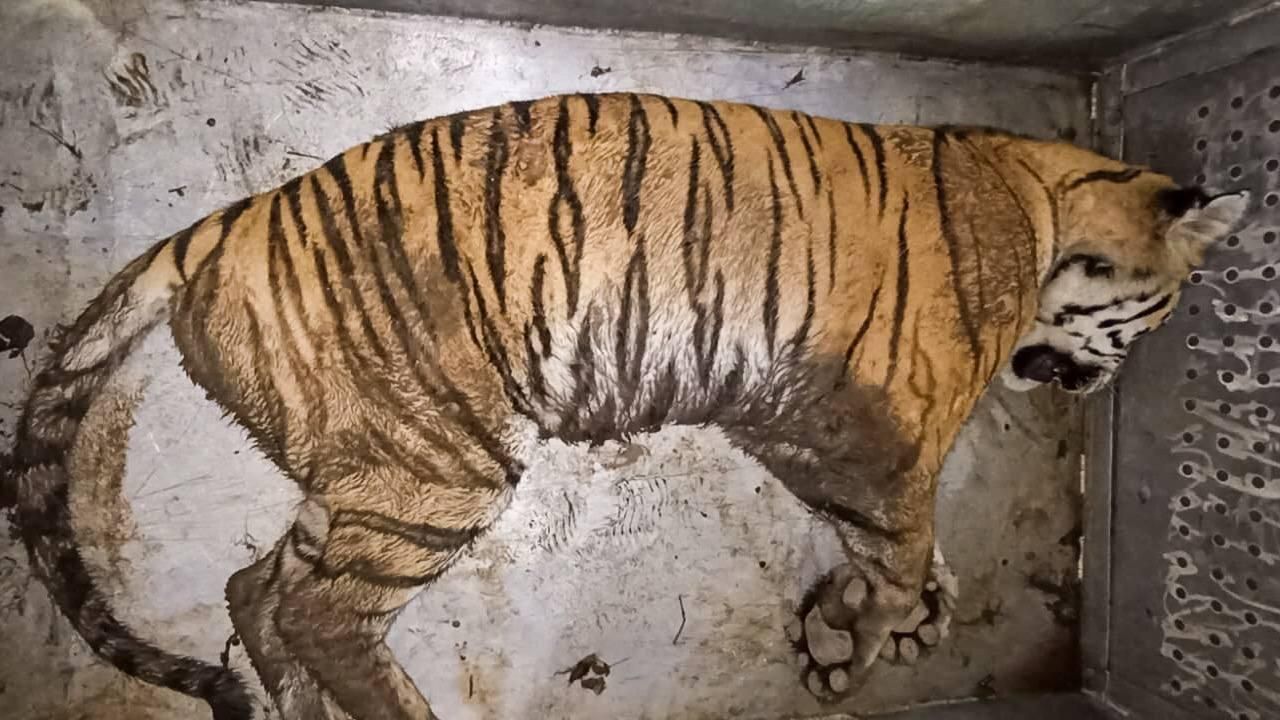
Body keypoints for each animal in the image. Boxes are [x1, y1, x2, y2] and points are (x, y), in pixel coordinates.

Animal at [4, 92, 1247, 720]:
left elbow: (886, 549)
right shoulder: (876, 425)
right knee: (317, 612)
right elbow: (896, 544)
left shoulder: (799, 421)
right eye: (1162, 310)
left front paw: (878, 620)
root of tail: (215, 224)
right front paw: (858, 644)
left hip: (364, 467)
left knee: (255, 588)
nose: (1101, 381)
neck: (1039, 197)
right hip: (438, 462)